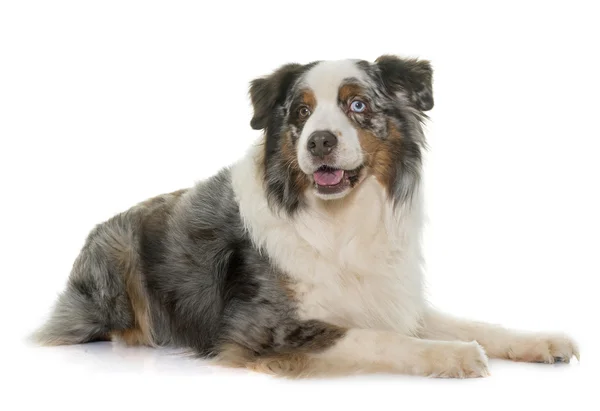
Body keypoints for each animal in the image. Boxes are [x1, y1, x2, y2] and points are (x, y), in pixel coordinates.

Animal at [35, 55, 580, 380]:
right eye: (300, 112)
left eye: (357, 105)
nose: (319, 141)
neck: (341, 223)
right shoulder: (264, 332)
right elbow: (379, 339)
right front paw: (453, 354)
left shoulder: (389, 297)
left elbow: (473, 322)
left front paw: (540, 340)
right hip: (118, 254)